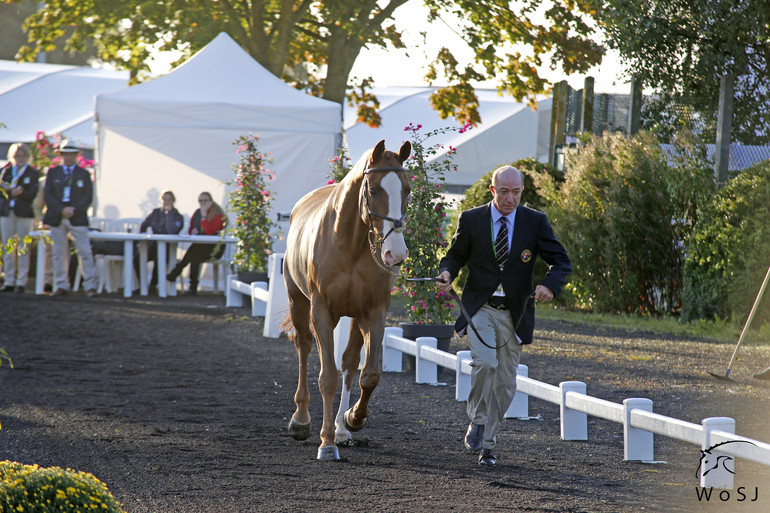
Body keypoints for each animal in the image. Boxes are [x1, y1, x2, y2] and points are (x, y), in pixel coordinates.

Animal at [282, 140, 412, 460]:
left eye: (407, 190)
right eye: (374, 190)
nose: (395, 253)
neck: (350, 243)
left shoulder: (374, 313)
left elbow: (369, 375)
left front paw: (353, 418)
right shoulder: (321, 312)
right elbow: (327, 377)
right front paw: (326, 442)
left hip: (354, 316)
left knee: (350, 364)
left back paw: (342, 428)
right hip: (298, 302)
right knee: (303, 346)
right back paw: (301, 420)